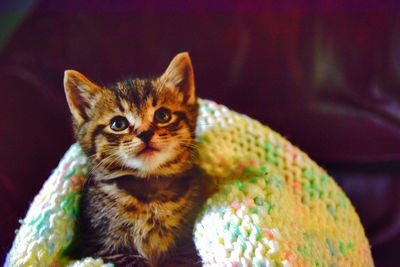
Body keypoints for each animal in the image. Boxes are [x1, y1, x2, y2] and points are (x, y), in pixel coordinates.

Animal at [65, 52, 206, 267]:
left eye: (163, 115)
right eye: (118, 124)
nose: (145, 133)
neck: (149, 192)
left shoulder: (187, 243)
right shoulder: (98, 246)